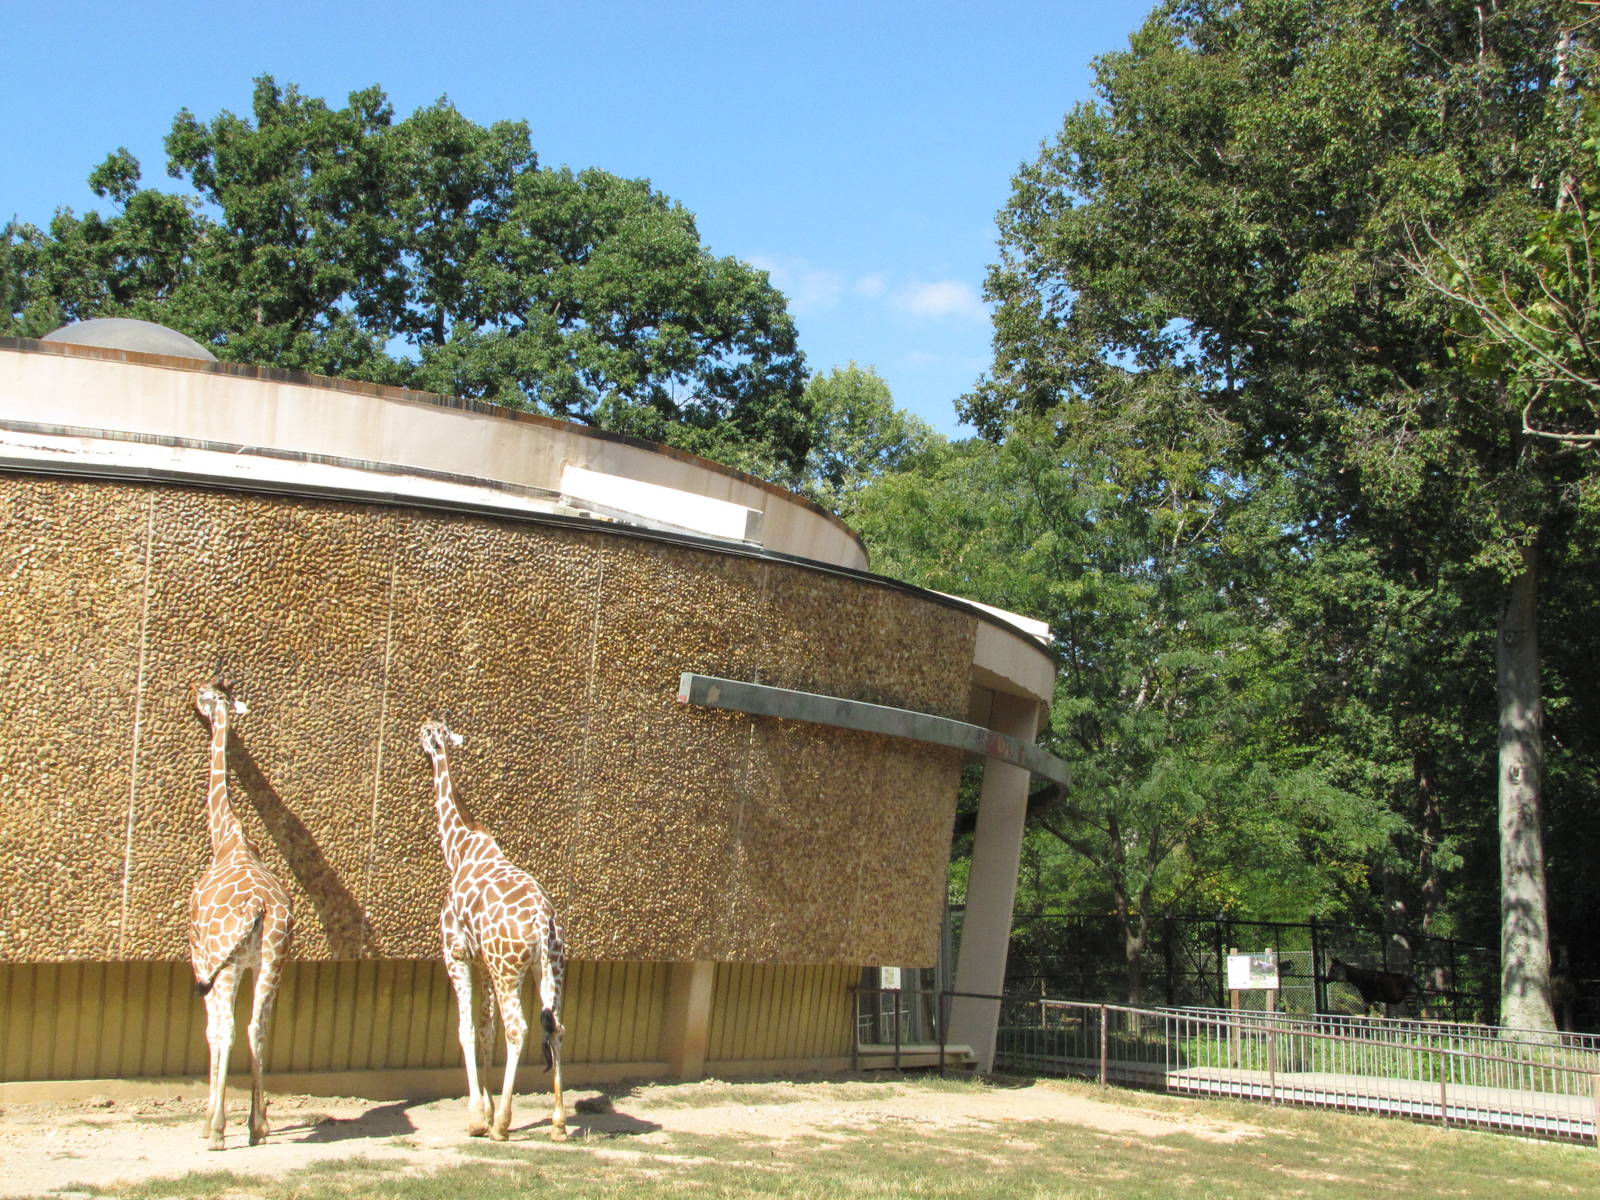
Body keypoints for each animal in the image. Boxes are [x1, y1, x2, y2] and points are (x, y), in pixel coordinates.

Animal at [419, 718, 568, 1142]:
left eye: (431, 731)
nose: (419, 732)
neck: (460, 849)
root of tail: (541, 920)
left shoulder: (456, 953)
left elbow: (466, 1028)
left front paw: (477, 1118)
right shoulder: (483, 962)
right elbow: (486, 1029)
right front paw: (482, 1110)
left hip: (508, 969)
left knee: (517, 1028)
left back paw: (503, 1124)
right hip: (549, 966)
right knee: (555, 1027)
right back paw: (558, 1122)